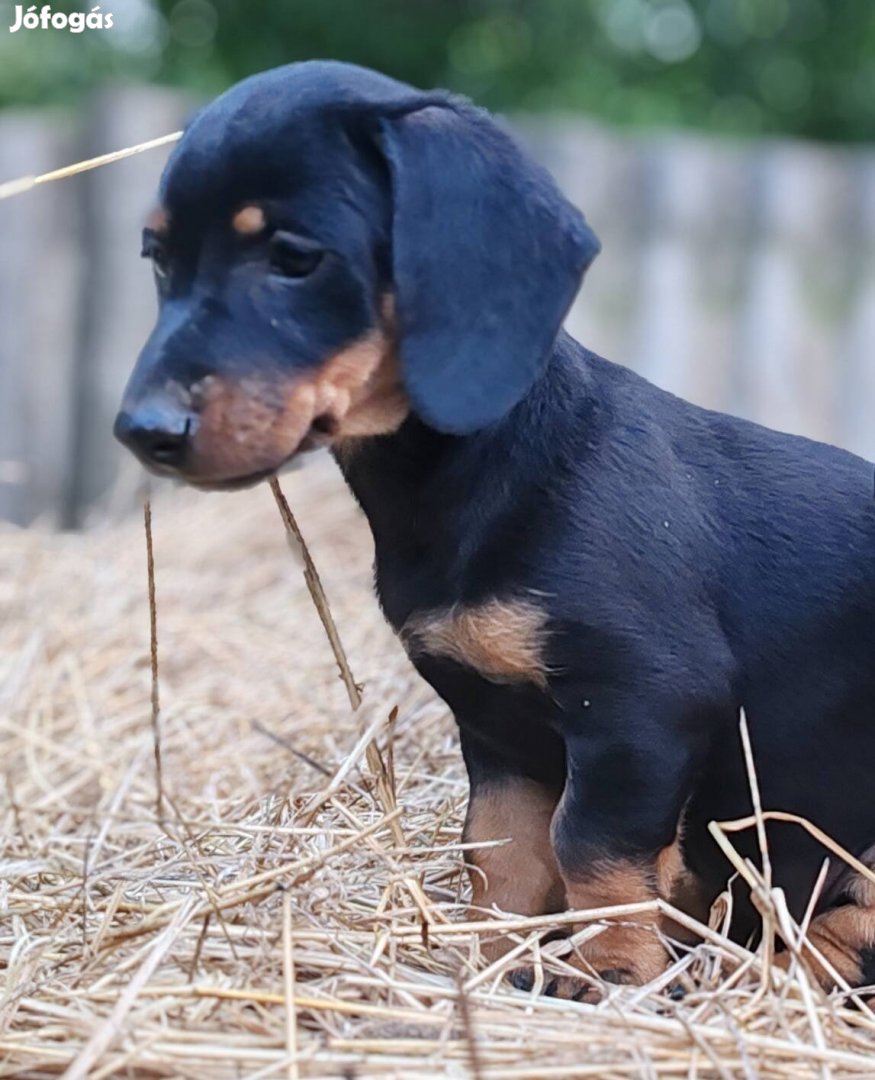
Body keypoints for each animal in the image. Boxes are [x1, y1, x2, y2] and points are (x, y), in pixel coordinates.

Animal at [113, 61, 872, 993]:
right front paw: (489, 964)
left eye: (294, 258)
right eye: (159, 259)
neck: (484, 477)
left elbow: (591, 850)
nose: (142, 430)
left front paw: (608, 976)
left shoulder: (641, 707)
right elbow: (500, 855)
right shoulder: (494, 731)